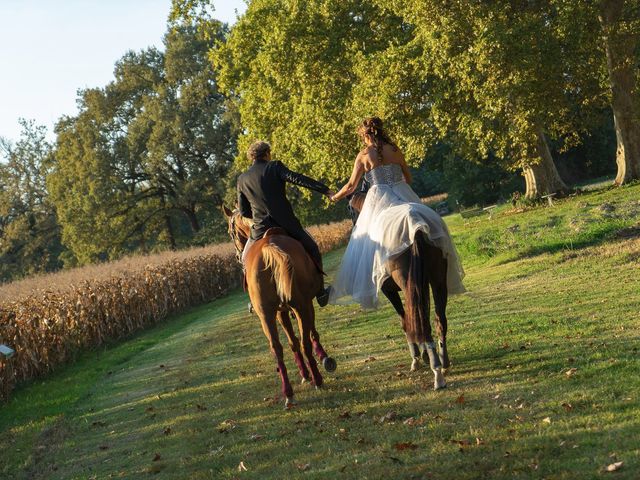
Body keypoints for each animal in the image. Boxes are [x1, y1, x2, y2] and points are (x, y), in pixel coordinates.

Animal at [222, 206, 338, 408]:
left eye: (230, 232)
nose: (237, 256)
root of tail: (269, 246)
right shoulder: (303, 305)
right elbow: (310, 334)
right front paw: (322, 358)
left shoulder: (280, 312)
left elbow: (293, 342)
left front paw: (306, 372)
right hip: (299, 307)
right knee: (305, 342)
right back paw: (317, 379)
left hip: (267, 314)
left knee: (277, 349)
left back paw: (289, 393)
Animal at [348, 193, 448, 388]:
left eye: (351, 211)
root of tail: (416, 226)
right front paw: (423, 354)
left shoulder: (390, 291)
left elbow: (405, 320)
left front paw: (418, 357)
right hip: (437, 280)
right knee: (439, 319)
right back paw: (444, 362)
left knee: (422, 322)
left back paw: (436, 370)